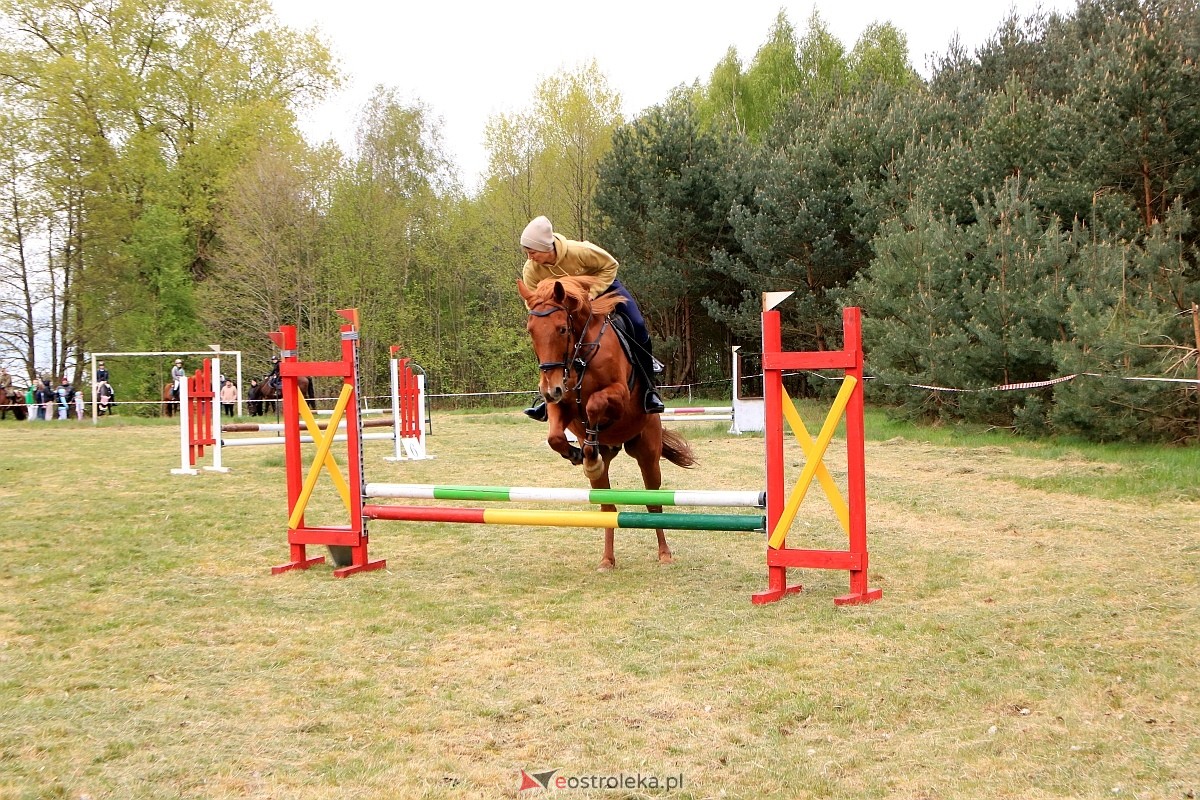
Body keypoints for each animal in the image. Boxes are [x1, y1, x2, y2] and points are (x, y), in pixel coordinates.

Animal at [513, 278, 696, 573]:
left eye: (562, 329)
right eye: (531, 332)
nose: (549, 389)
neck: (579, 356)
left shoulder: (618, 395)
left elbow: (594, 404)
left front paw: (588, 448)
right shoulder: (560, 403)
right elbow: (555, 436)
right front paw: (578, 453)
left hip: (647, 452)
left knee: (653, 502)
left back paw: (664, 553)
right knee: (608, 509)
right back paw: (607, 559)